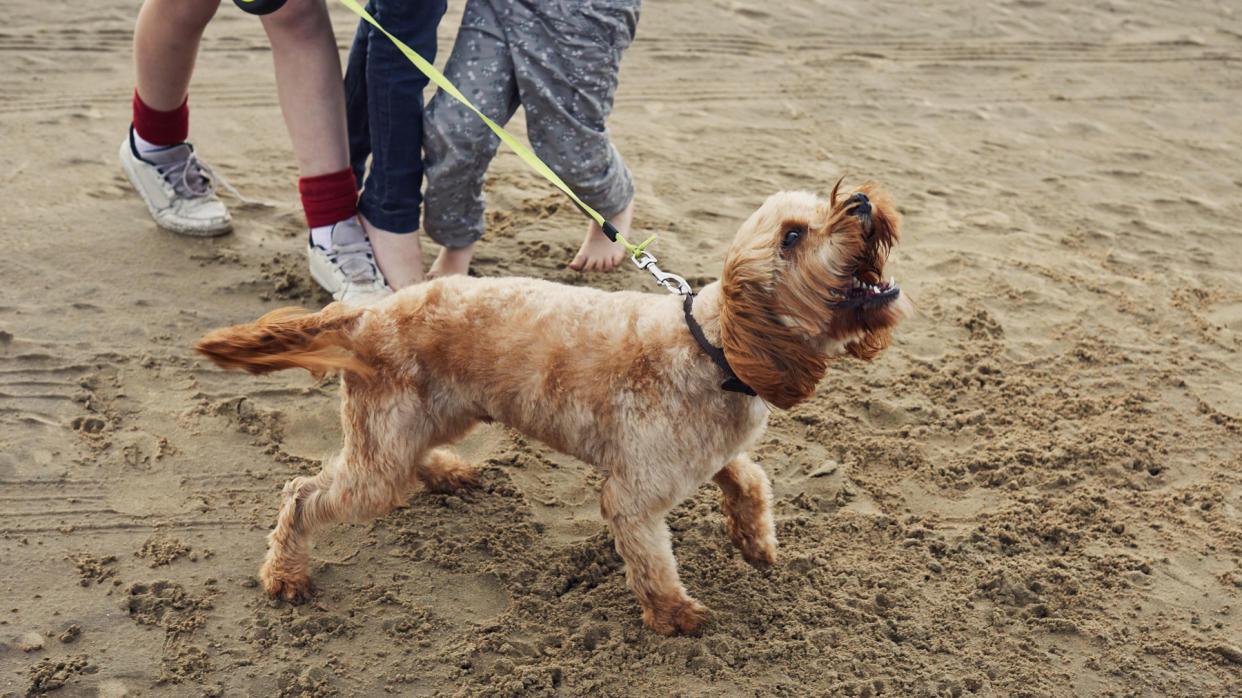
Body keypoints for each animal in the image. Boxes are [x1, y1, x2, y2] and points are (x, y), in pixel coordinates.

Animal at [196, 180, 914, 635]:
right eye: (793, 236)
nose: (860, 200)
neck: (713, 347)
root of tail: (371, 313)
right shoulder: (633, 495)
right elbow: (653, 562)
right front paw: (674, 617)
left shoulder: (710, 454)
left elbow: (751, 481)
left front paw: (756, 541)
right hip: (380, 459)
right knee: (302, 494)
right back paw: (285, 573)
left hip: (441, 413)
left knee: (406, 456)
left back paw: (445, 471)